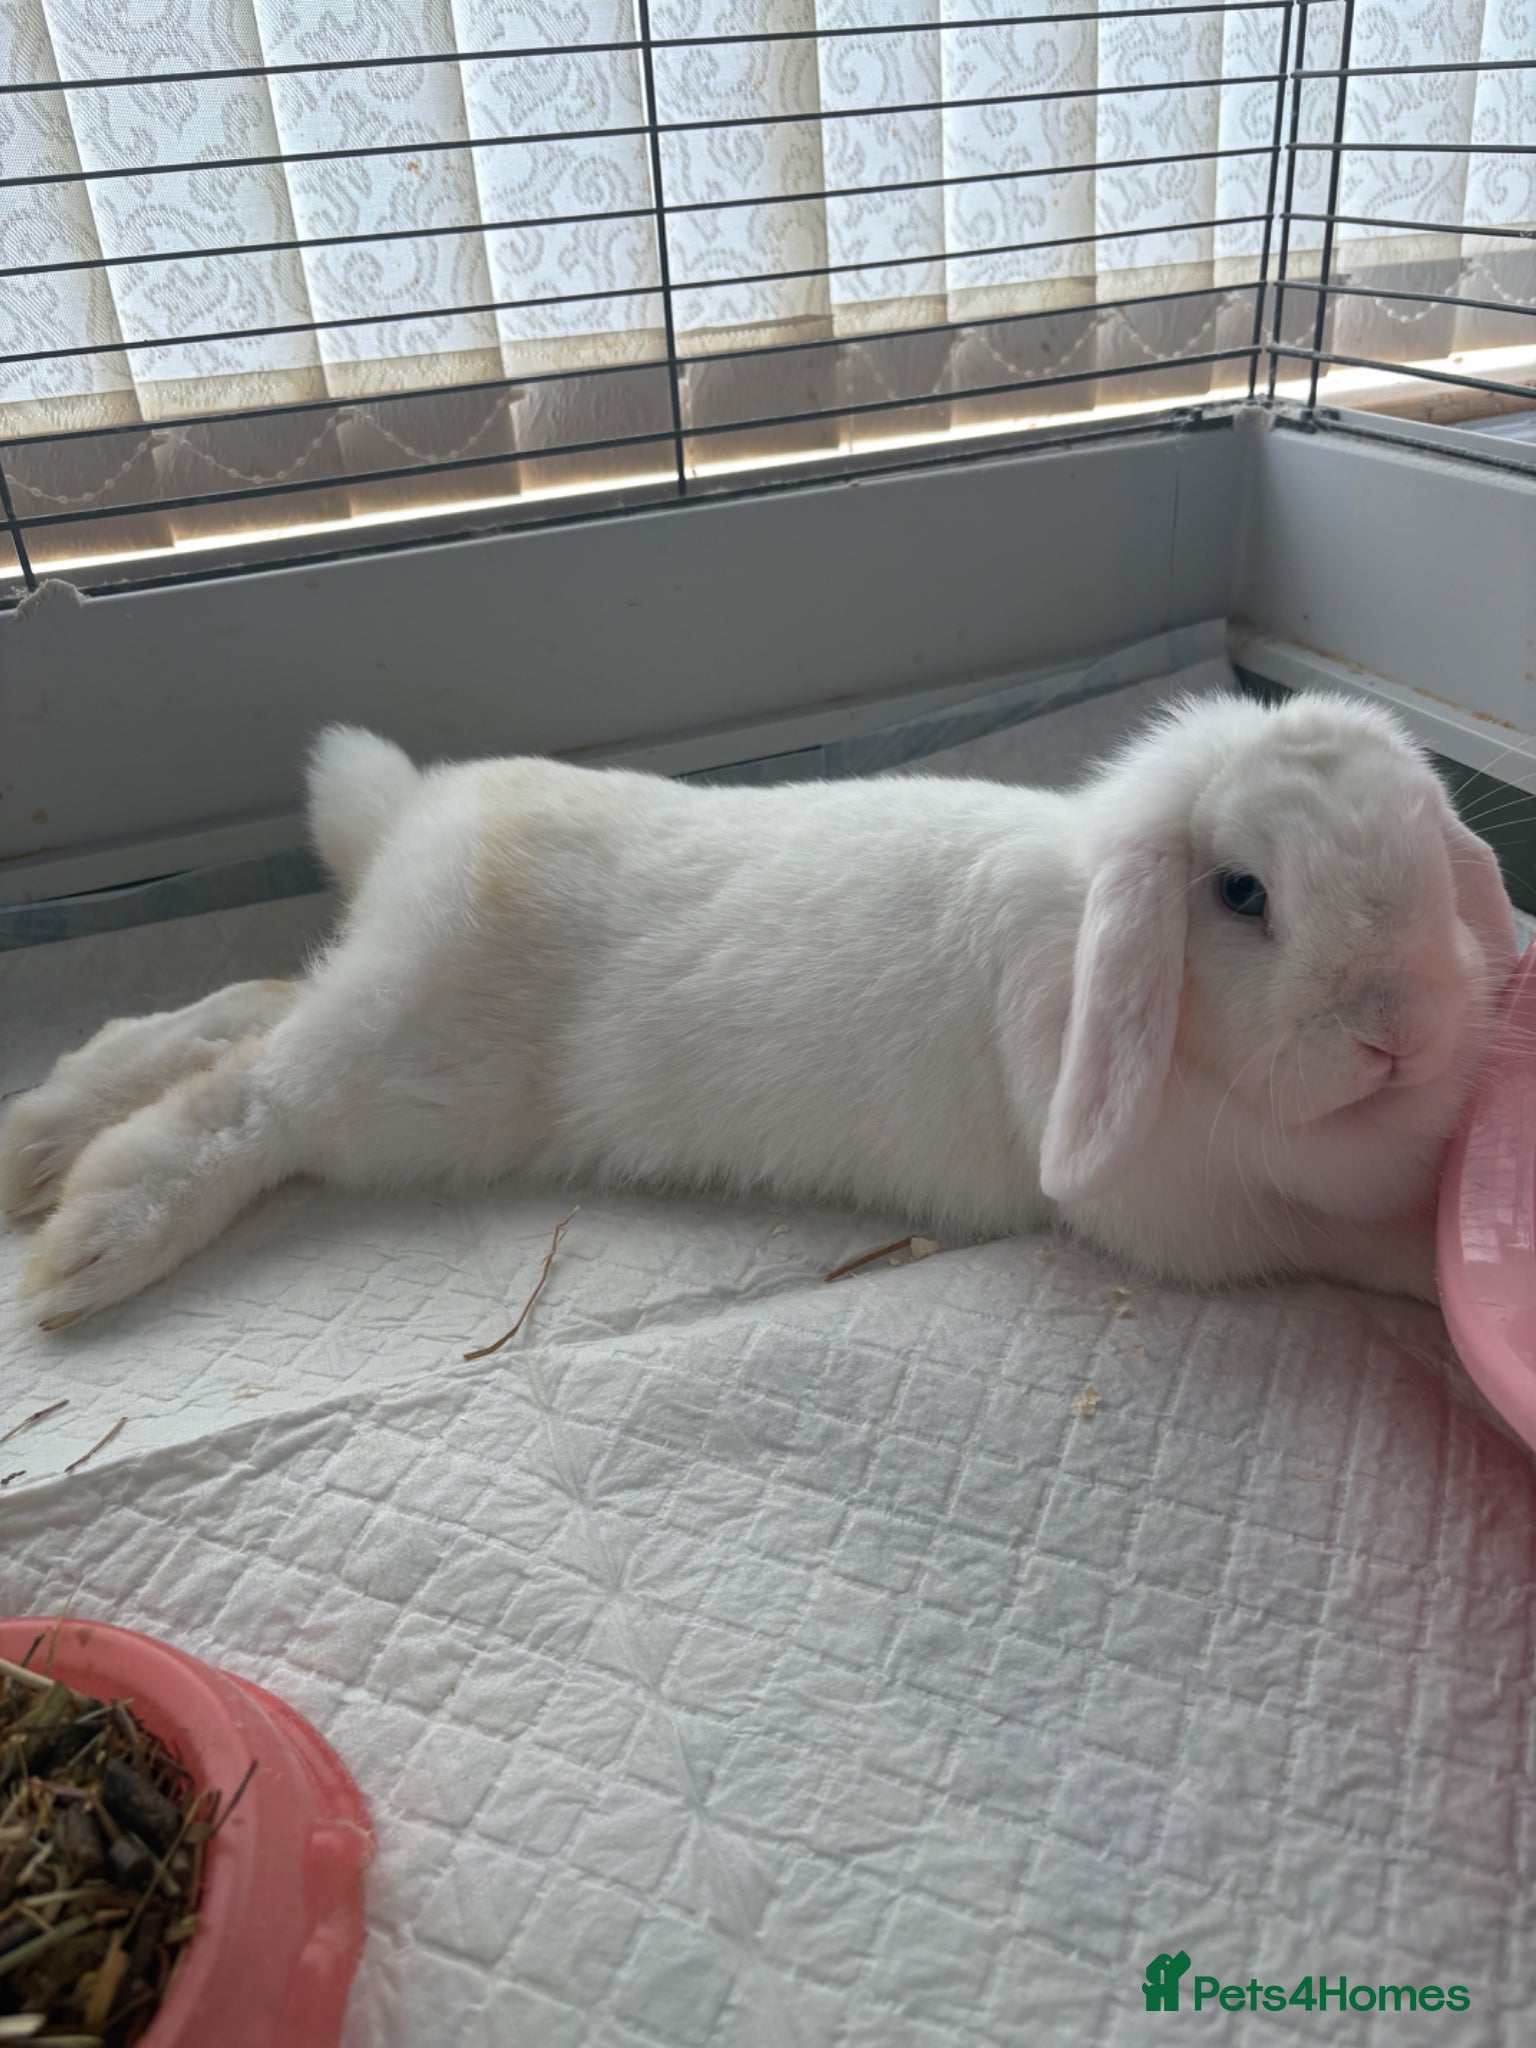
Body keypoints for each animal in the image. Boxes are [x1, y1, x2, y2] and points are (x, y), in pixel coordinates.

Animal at [1, 690, 1518, 1330]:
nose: (1395, 1027)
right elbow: (1350, 1242)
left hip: (376, 1015)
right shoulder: (1205, 1223)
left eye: (1422, 860)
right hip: (404, 1073)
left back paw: (38, 1135)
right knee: (253, 1094)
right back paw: (93, 1235)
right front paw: (1422, 1258)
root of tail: (421, 819)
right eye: (1245, 894)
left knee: (248, 1004)